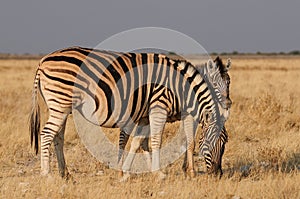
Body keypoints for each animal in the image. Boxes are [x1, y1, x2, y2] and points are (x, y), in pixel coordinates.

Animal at [29, 47, 230, 179]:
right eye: (217, 141)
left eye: (225, 142)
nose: (218, 175)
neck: (181, 89)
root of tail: (43, 61)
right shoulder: (159, 107)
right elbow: (158, 141)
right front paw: (164, 172)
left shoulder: (145, 115)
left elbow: (139, 143)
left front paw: (133, 172)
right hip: (60, 103)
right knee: (46, 134)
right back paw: (47, 174)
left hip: (60, 106)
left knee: (58, 136)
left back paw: (65, 173)